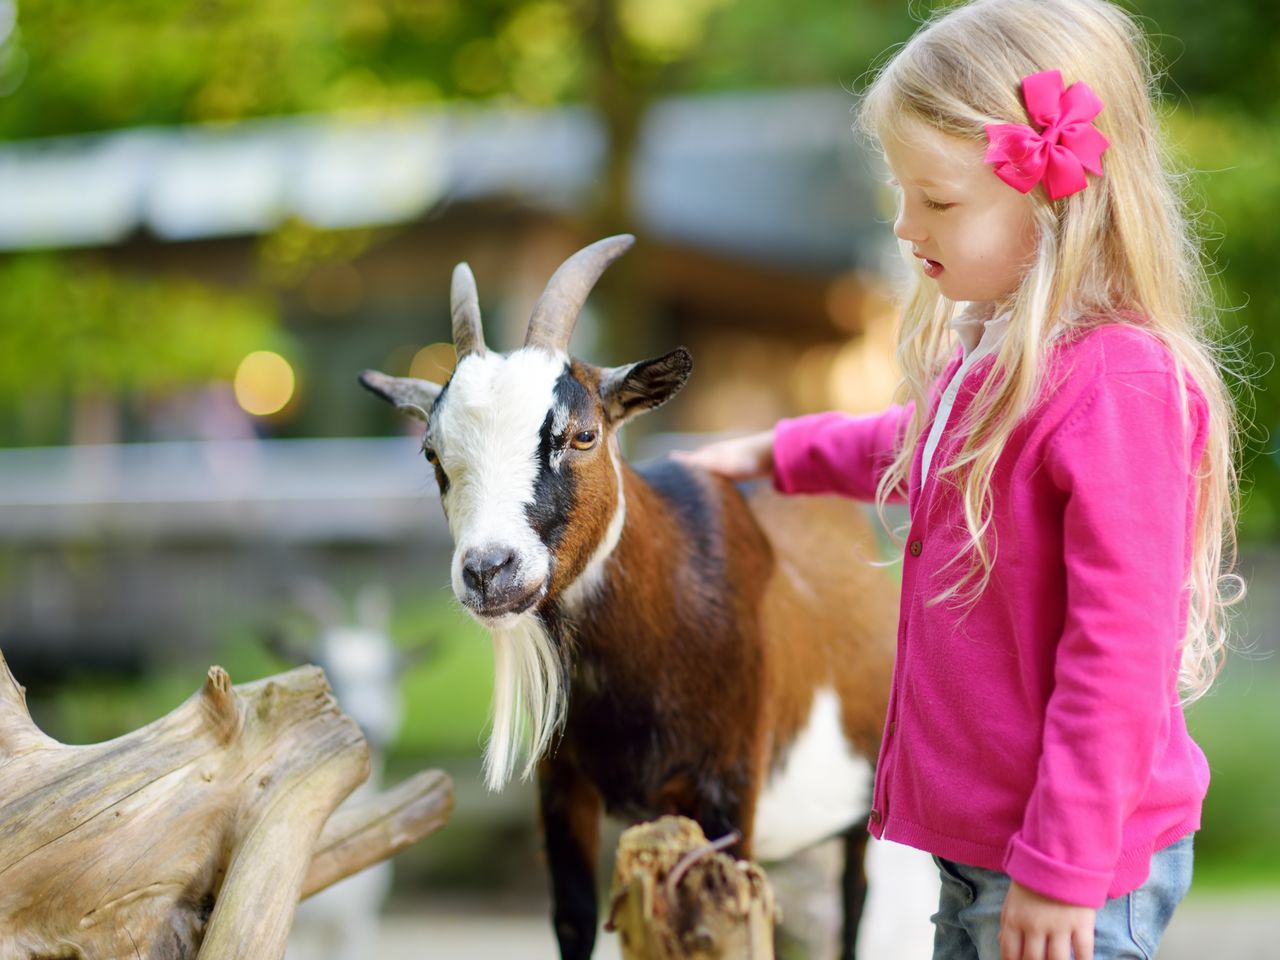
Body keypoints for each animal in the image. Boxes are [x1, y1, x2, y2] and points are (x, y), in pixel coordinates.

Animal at [360, 235, 901, 960]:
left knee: (855, 900)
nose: (488, 570)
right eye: (431, 454)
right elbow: (573, 920)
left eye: (583, 434)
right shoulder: (563, 790)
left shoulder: (730, 791)